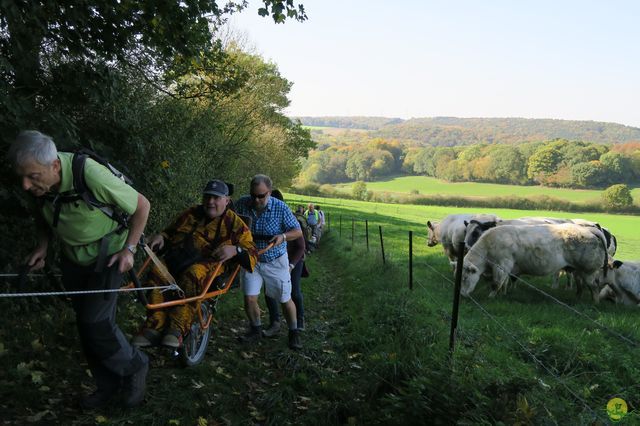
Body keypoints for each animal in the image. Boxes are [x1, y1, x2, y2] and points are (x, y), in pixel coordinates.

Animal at [462, 223, 608, 300]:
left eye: (464, 278)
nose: (462, 295)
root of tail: (589, 229)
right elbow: (504, 283)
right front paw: (503, 293)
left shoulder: (501, 265)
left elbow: (496, 283)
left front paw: (491, 297)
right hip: (578, 270)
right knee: (581, 285)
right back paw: (578, 297)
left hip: (589, 270)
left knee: (594, 286)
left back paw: (595, 302)